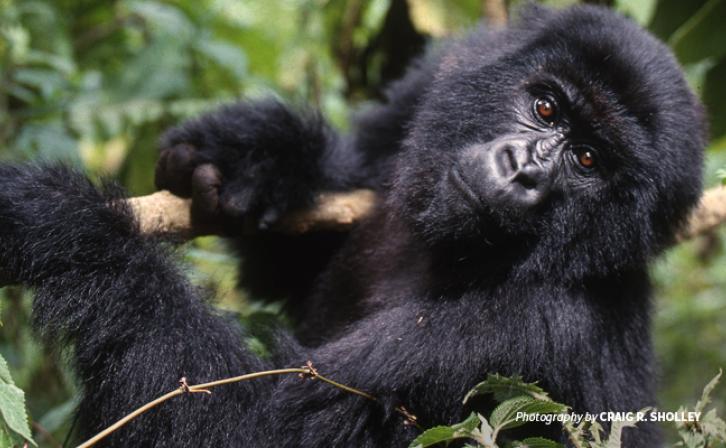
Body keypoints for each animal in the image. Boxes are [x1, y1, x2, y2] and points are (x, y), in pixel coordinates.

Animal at [0, 4, 708, 448]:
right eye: (545, 107)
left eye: (588, 160)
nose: (524, 171)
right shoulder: (433, 82)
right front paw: (261, 154)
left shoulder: (537, 330)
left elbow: (252, 429)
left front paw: (68, 222)